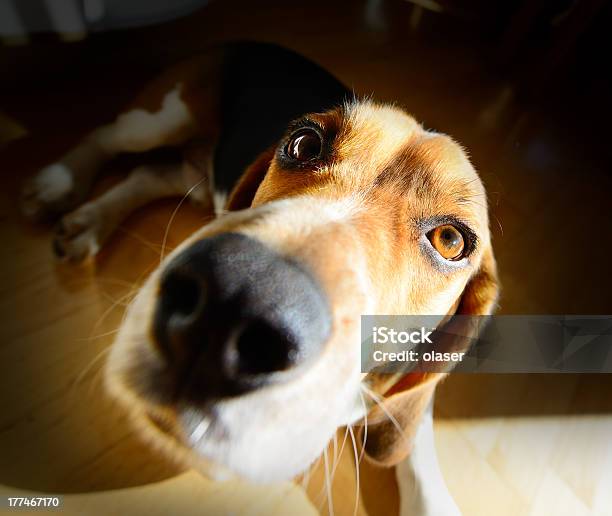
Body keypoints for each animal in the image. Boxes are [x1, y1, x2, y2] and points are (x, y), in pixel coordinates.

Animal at [21, 41, 500, 516]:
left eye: (451, 240)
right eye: (304, 143)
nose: (232, 301)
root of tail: (250, 42)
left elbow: (413, 439)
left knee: (149, 174)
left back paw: (89, 222)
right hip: (158, 119)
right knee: (107, 136)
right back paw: (61, 185)